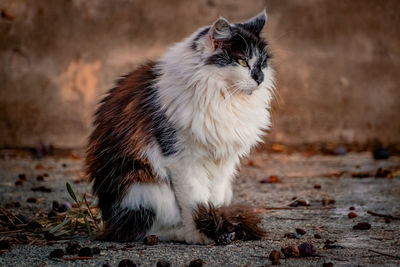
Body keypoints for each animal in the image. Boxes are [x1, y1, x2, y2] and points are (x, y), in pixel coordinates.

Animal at [86, 11, 276, 245]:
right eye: (241, 61)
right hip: (144, 186)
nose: (260, 78)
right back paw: (182, 234)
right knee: (143, 230)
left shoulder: (223, 163)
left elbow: (213, 202)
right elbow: (194, 203)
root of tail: (108, 222)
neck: (224, 98)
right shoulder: (182, 160)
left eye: (262, 63)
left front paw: (217, 223)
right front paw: (201, 234)